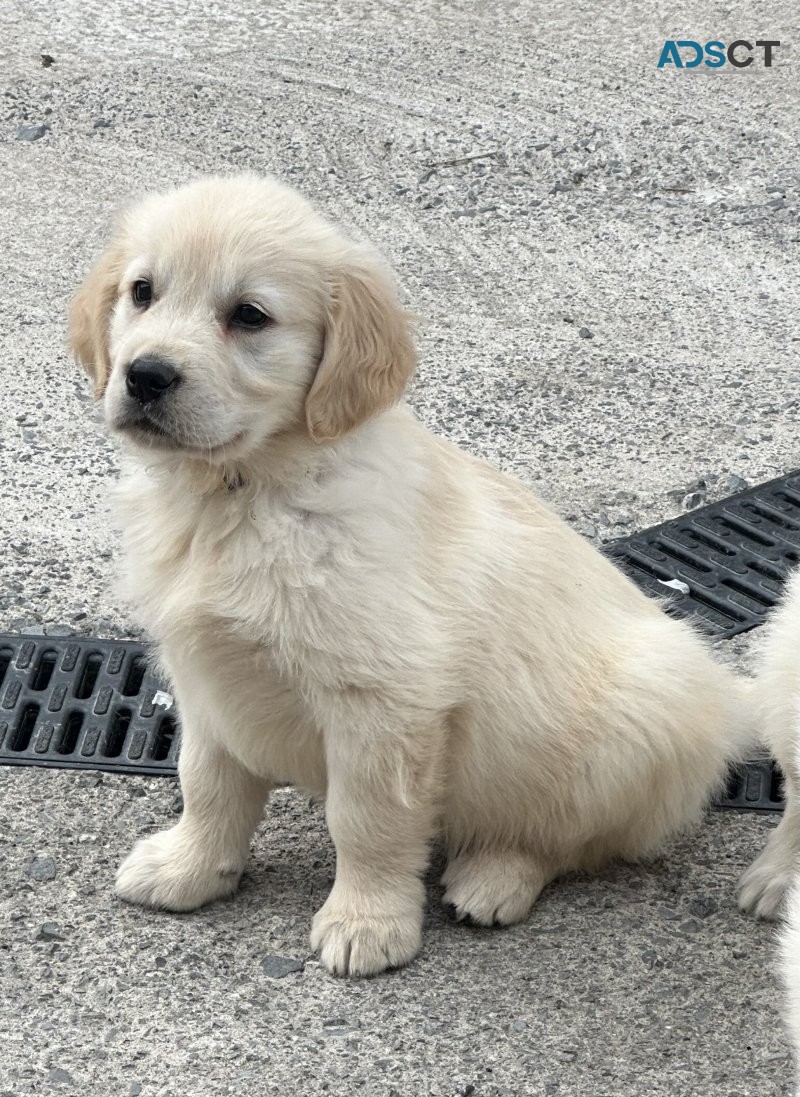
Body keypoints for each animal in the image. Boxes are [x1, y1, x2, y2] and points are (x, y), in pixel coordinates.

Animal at [70, 173, 750, 978]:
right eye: (142, 292)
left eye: (250, 315)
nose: (145, 375)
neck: (246, 492)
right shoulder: (207, 676)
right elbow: (206, 784)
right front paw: (192, 868)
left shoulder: (384, 698)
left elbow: (367, 819)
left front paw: (367, 921)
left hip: (641, 708)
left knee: (573, 837)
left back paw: (496, 874)